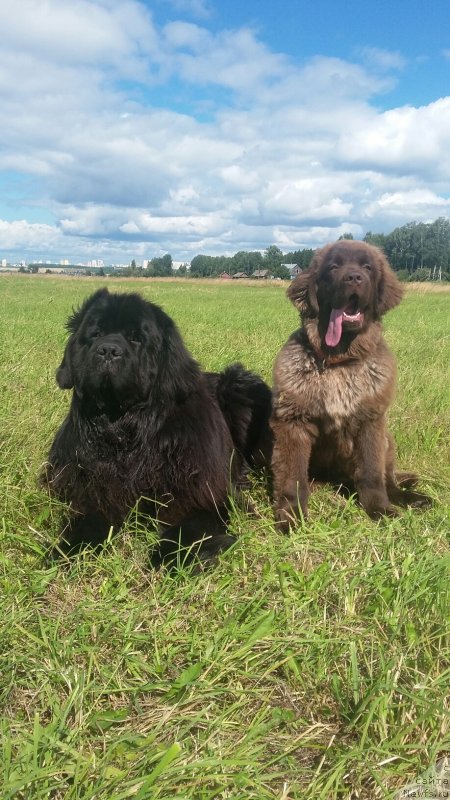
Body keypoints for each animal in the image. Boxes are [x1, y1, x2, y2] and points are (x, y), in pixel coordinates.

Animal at [41, 288, 270, 564]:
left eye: (137, 339)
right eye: (95, 334)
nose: (108, 350)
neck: (127, 431)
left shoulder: (204, 493)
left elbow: (188, 530)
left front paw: (167, 560)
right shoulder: (91, 489)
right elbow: (87, 522)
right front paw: (67, 553)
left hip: (239, 386)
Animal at [268, 239, 430, 532]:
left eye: (367, 267)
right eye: (334, 267)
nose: (354, 277)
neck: (338, 361)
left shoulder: (370, 422)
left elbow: (371, 474)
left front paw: (379, 509)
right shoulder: (293, 423)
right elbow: (292, 477)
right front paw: (291, 516)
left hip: (387, 439)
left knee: (389, 479)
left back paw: (411, 497)